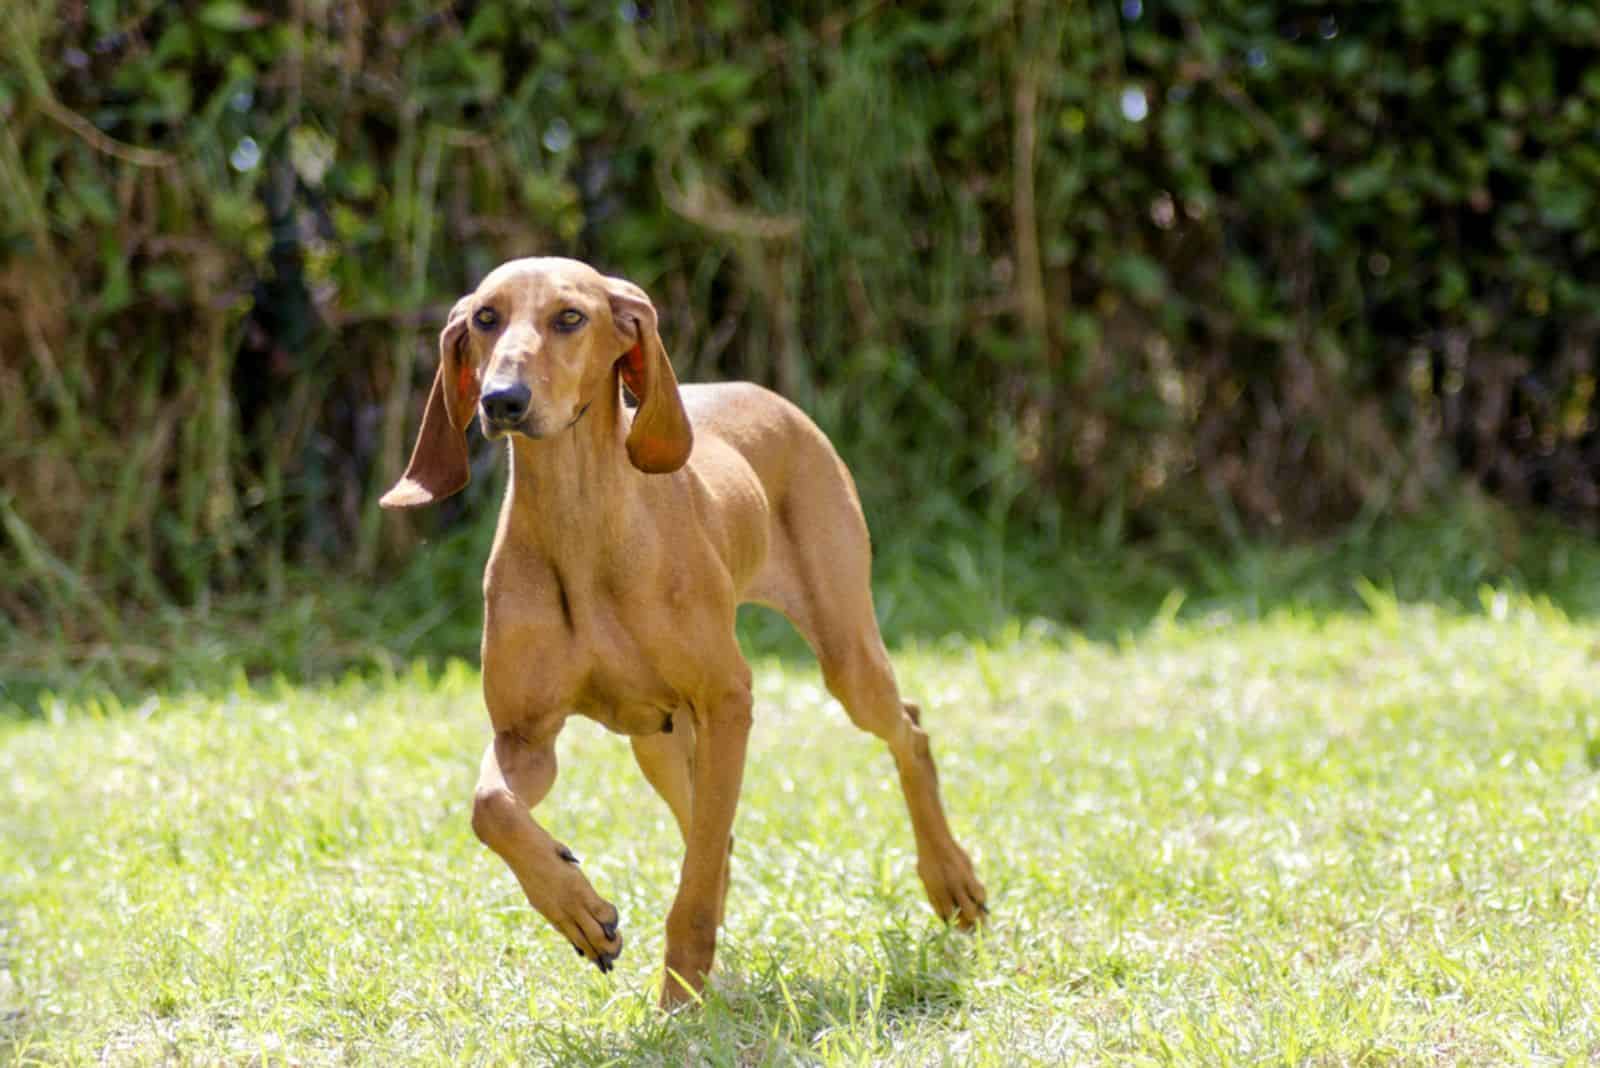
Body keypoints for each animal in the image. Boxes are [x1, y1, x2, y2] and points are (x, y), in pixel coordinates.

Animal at [384, 254, 985, 1004]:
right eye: (486, 318)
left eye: (570, 317)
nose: (501, 400)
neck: (581, 527)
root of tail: (764, 394)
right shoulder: (525, 738)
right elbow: (489, 806)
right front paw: (578, 909)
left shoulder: (728, 702)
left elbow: (695, 877)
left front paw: (681, 993)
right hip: (658, 741)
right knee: (711, 828)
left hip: (844, 655)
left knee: (908, 728)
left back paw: (951, 879)